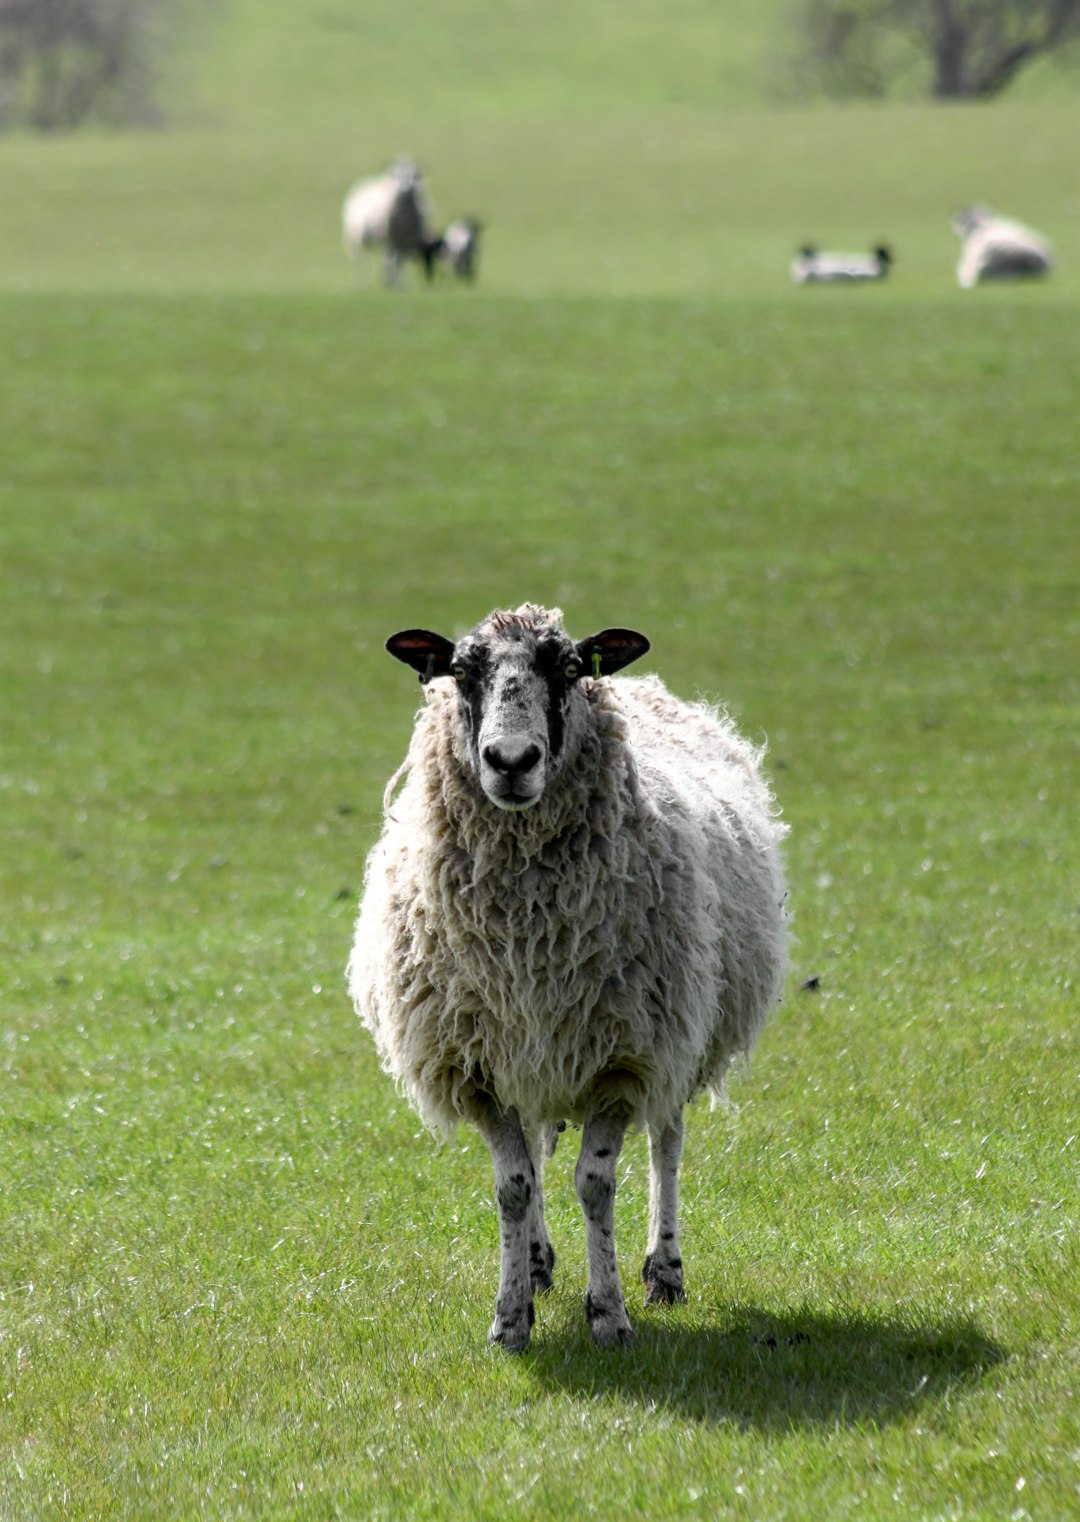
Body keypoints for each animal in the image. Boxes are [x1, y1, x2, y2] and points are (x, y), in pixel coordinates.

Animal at [337, 159, 441, 287]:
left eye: (413, 176)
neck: (404, 220)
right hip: (355, 239)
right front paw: (392, 283)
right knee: (360, 260)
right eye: (397, 175)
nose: (405, 189)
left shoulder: (407, 243)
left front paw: (399, 283)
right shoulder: (388, 241)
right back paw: (361, 283)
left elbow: (400, 262)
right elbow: (391, 262)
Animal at [351, 599, 790, 1351]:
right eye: (460, 671)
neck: (530, 935)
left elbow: (596, 1183)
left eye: (569, 667)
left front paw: (609, 1313)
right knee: (535, 1152)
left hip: (679, 1029)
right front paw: (510, 1316)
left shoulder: (625, 1054)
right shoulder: (480, 1061)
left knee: (667, 1140)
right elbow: (514, 1185)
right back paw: (534, 1261)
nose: (511, 761)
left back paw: (664, 1270)